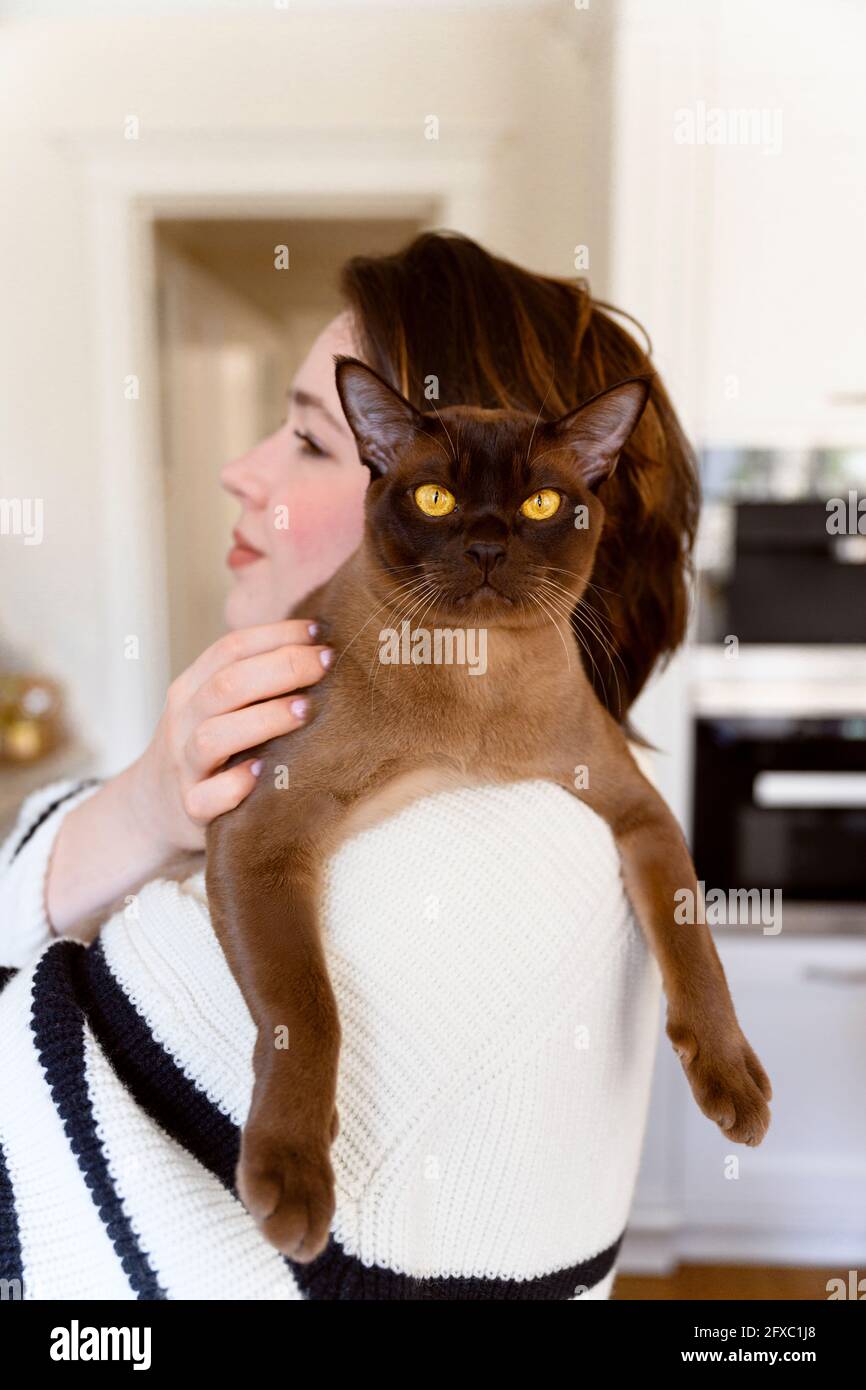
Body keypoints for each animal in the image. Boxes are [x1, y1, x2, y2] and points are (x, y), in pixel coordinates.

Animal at [207, 355, 778, 1262]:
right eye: (435, 498)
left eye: (539, 504)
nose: (484, 545)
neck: (472, 681)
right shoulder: (258, 837)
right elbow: (308, 1012)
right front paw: (294, 1183)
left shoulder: (638, 812)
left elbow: (696, 945)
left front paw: (733, 1084)